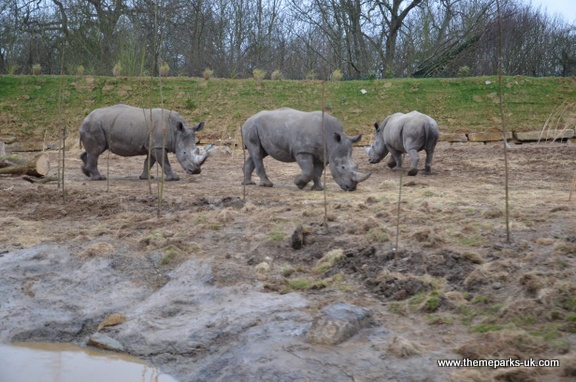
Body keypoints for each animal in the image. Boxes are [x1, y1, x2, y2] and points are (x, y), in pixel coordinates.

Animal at [79, 103, 207, 181]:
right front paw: (174, 178)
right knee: (96, 151)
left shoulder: (154, 145)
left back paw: (86, 173)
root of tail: (84, 119)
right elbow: (164, 162)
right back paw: (99, 178)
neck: (176, 132)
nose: (196, 171)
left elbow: (149, 162)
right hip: (93, 125)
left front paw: (145, 178)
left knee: (93, 151)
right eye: (184, 153)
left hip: (97, 125)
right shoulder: (159, 146)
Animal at [241, 107, 372, 191]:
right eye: (342, 167)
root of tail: (247, 119)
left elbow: (318, 171)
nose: (352, 188)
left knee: (259, 153)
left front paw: (318, 189)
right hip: (251, 127)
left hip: (260, 128)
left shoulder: (323, 154)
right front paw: (299, 184)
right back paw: (267, 185)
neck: (332, 140)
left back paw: (248, 183)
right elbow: (308, 170)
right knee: (256, 152)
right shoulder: (302, 151)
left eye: (356, 166)